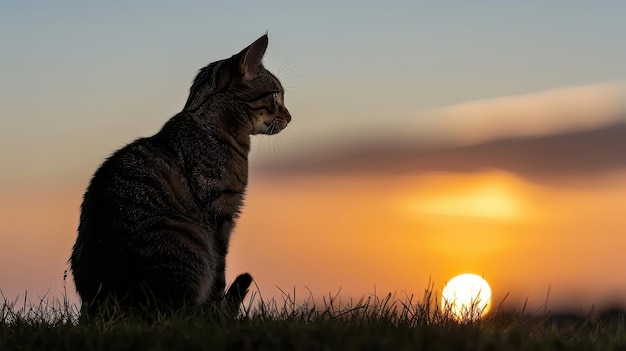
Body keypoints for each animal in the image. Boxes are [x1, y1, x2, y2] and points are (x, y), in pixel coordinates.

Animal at [70, 35, 290, 316]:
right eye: (275, 95)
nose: (290, 116)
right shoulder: (220, 216)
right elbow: (219, 274)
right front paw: (217, 313)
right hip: (182, 242)